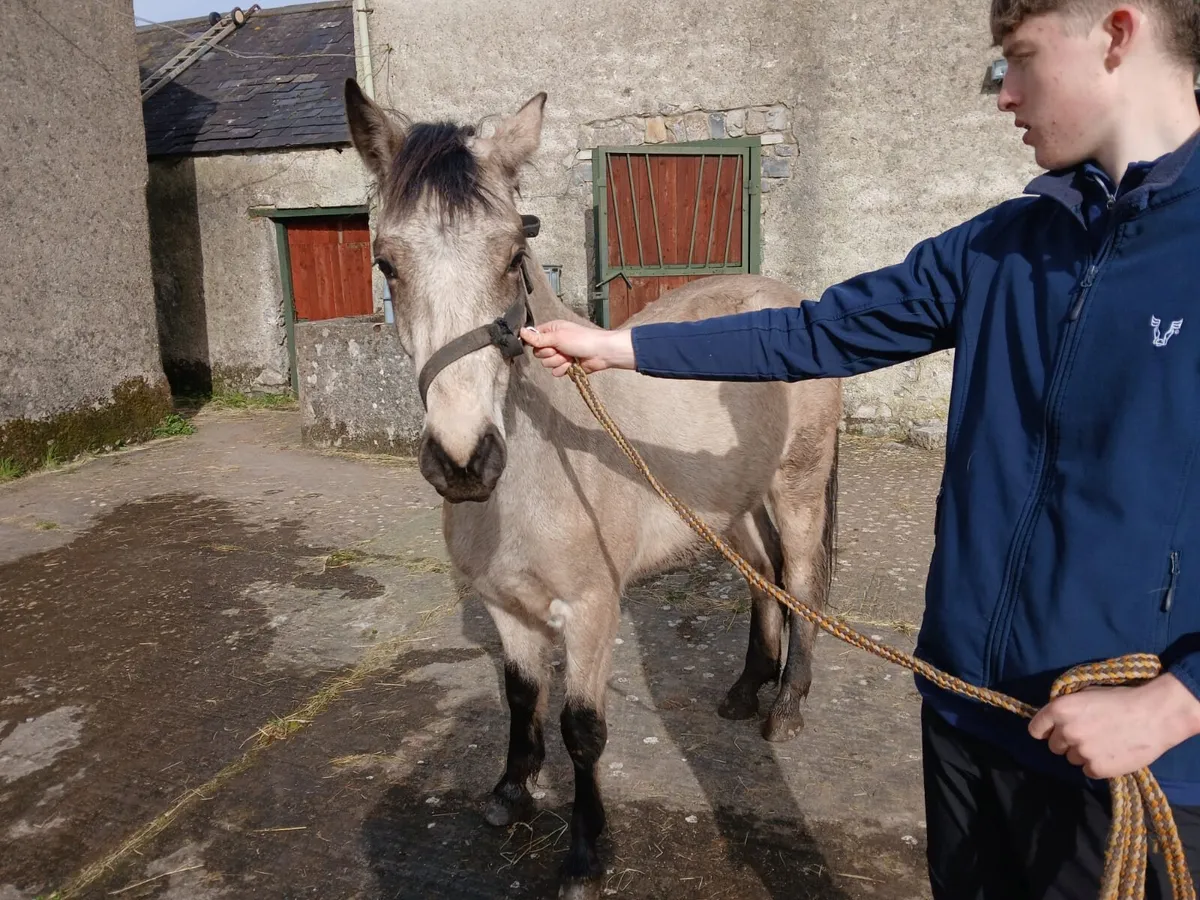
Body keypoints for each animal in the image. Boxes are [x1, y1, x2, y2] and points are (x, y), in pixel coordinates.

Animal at [343, 78, 843, 900]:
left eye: (513, 255)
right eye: (386, 264)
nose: (463, 462)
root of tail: (785, 295)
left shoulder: (591, 611)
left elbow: (583, 730)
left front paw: (584, 852)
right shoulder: (507, 606)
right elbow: (521, 698)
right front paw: (510, 793)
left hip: (796, 489)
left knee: (800, 582)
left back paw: (789, 707)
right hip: (731, 509)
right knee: (762, 579)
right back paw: (746, 691)